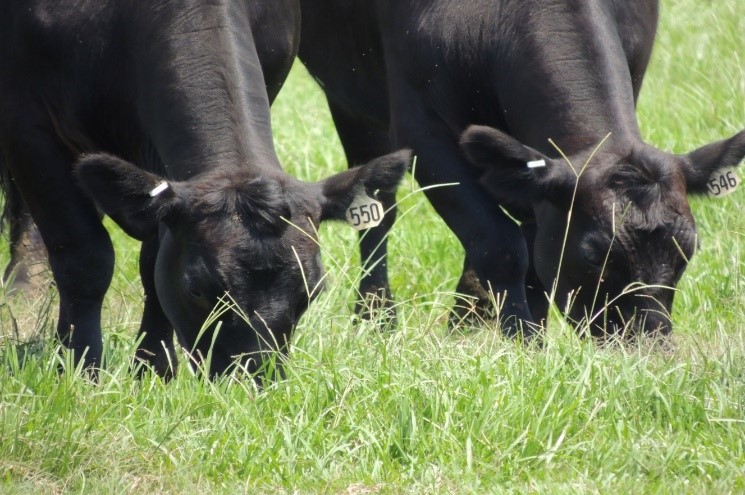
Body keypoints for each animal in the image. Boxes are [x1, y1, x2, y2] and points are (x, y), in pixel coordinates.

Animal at [0, 0, 406, 380]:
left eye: (311, 292)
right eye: (196, 288)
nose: (250, 378)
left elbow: (153, 262)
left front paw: (152, 369)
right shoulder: (26, 121)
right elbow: (85, 258)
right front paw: (79, 369)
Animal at [298, 0, 744, 338]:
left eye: (688, 249)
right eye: (593, 255)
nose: (650, 352)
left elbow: (530, 250)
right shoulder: (421, 130)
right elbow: (502, 246)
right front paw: (523, 342)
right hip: (351, 96)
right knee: (378, 210)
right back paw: (376, 317)